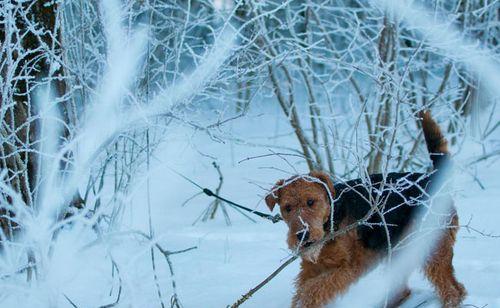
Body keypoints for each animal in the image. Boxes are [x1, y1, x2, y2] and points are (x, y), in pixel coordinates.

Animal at [268, 111, 466, 308]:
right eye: (287, 208)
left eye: (311, 201)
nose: (302, 235)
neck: (331, 219)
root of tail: (434, 178)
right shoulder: (311, 268)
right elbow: (303, 290)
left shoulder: (348, 267)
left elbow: (312, 291)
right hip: (399, 249)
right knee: (409, 289)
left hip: (431, 246)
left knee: (453, 290)